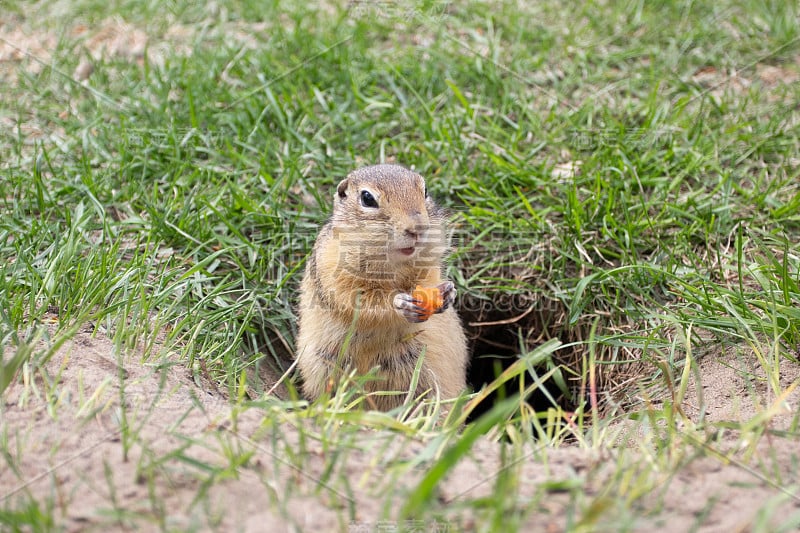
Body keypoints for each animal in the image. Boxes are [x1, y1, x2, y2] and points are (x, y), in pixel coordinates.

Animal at [296, 164, 468, 410]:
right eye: (367, 198)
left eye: (425, 191)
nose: (418, 229)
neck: (393, 264)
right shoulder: (333, 271)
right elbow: (359, 300)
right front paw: (400, 303)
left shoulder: (429, 267)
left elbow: (429, 279)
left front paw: (448, 293)